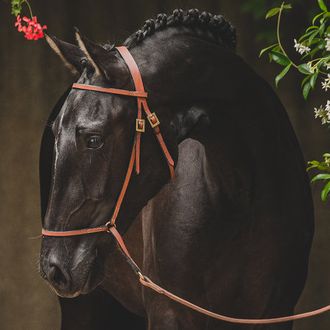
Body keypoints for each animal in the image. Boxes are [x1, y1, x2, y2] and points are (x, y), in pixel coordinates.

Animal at [39, 9, 314, 328]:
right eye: (55, 133)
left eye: (93, 139)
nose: (53, 267)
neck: (240, 198)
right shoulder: (170, 313)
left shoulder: (276, 313)